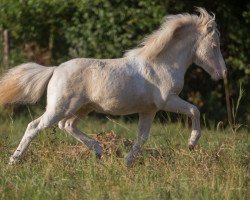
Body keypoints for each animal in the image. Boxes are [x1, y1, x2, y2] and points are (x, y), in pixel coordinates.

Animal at [0, 7, 227, 166]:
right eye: (214, 45)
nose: (222, 73)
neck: (161, 64)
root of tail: (55, 69)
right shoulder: (167, 101)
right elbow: (194, 110)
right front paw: (192, 143)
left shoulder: (149, 110)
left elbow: (142, 137)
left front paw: (126, 162)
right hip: (60, 107)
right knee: (35, 126)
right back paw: (13, 161)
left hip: (82, 108)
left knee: (67, 125)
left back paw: (99, 151)